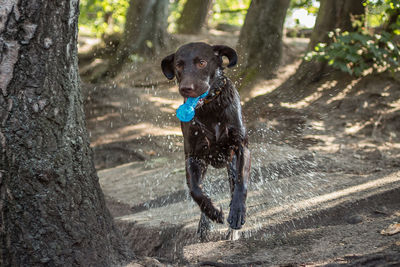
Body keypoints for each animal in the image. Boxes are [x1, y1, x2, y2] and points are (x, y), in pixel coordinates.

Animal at [160, 43, 250, 238]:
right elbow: (195, 190)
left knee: (233, 185)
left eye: (201, 63)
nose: (186, 88)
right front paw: (213, 212)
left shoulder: (240, 147)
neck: (210, 108)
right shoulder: (193, 156)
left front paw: (237, 212)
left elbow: (240, 182)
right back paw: (205, 224)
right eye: (178, 65)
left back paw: (232, 231)